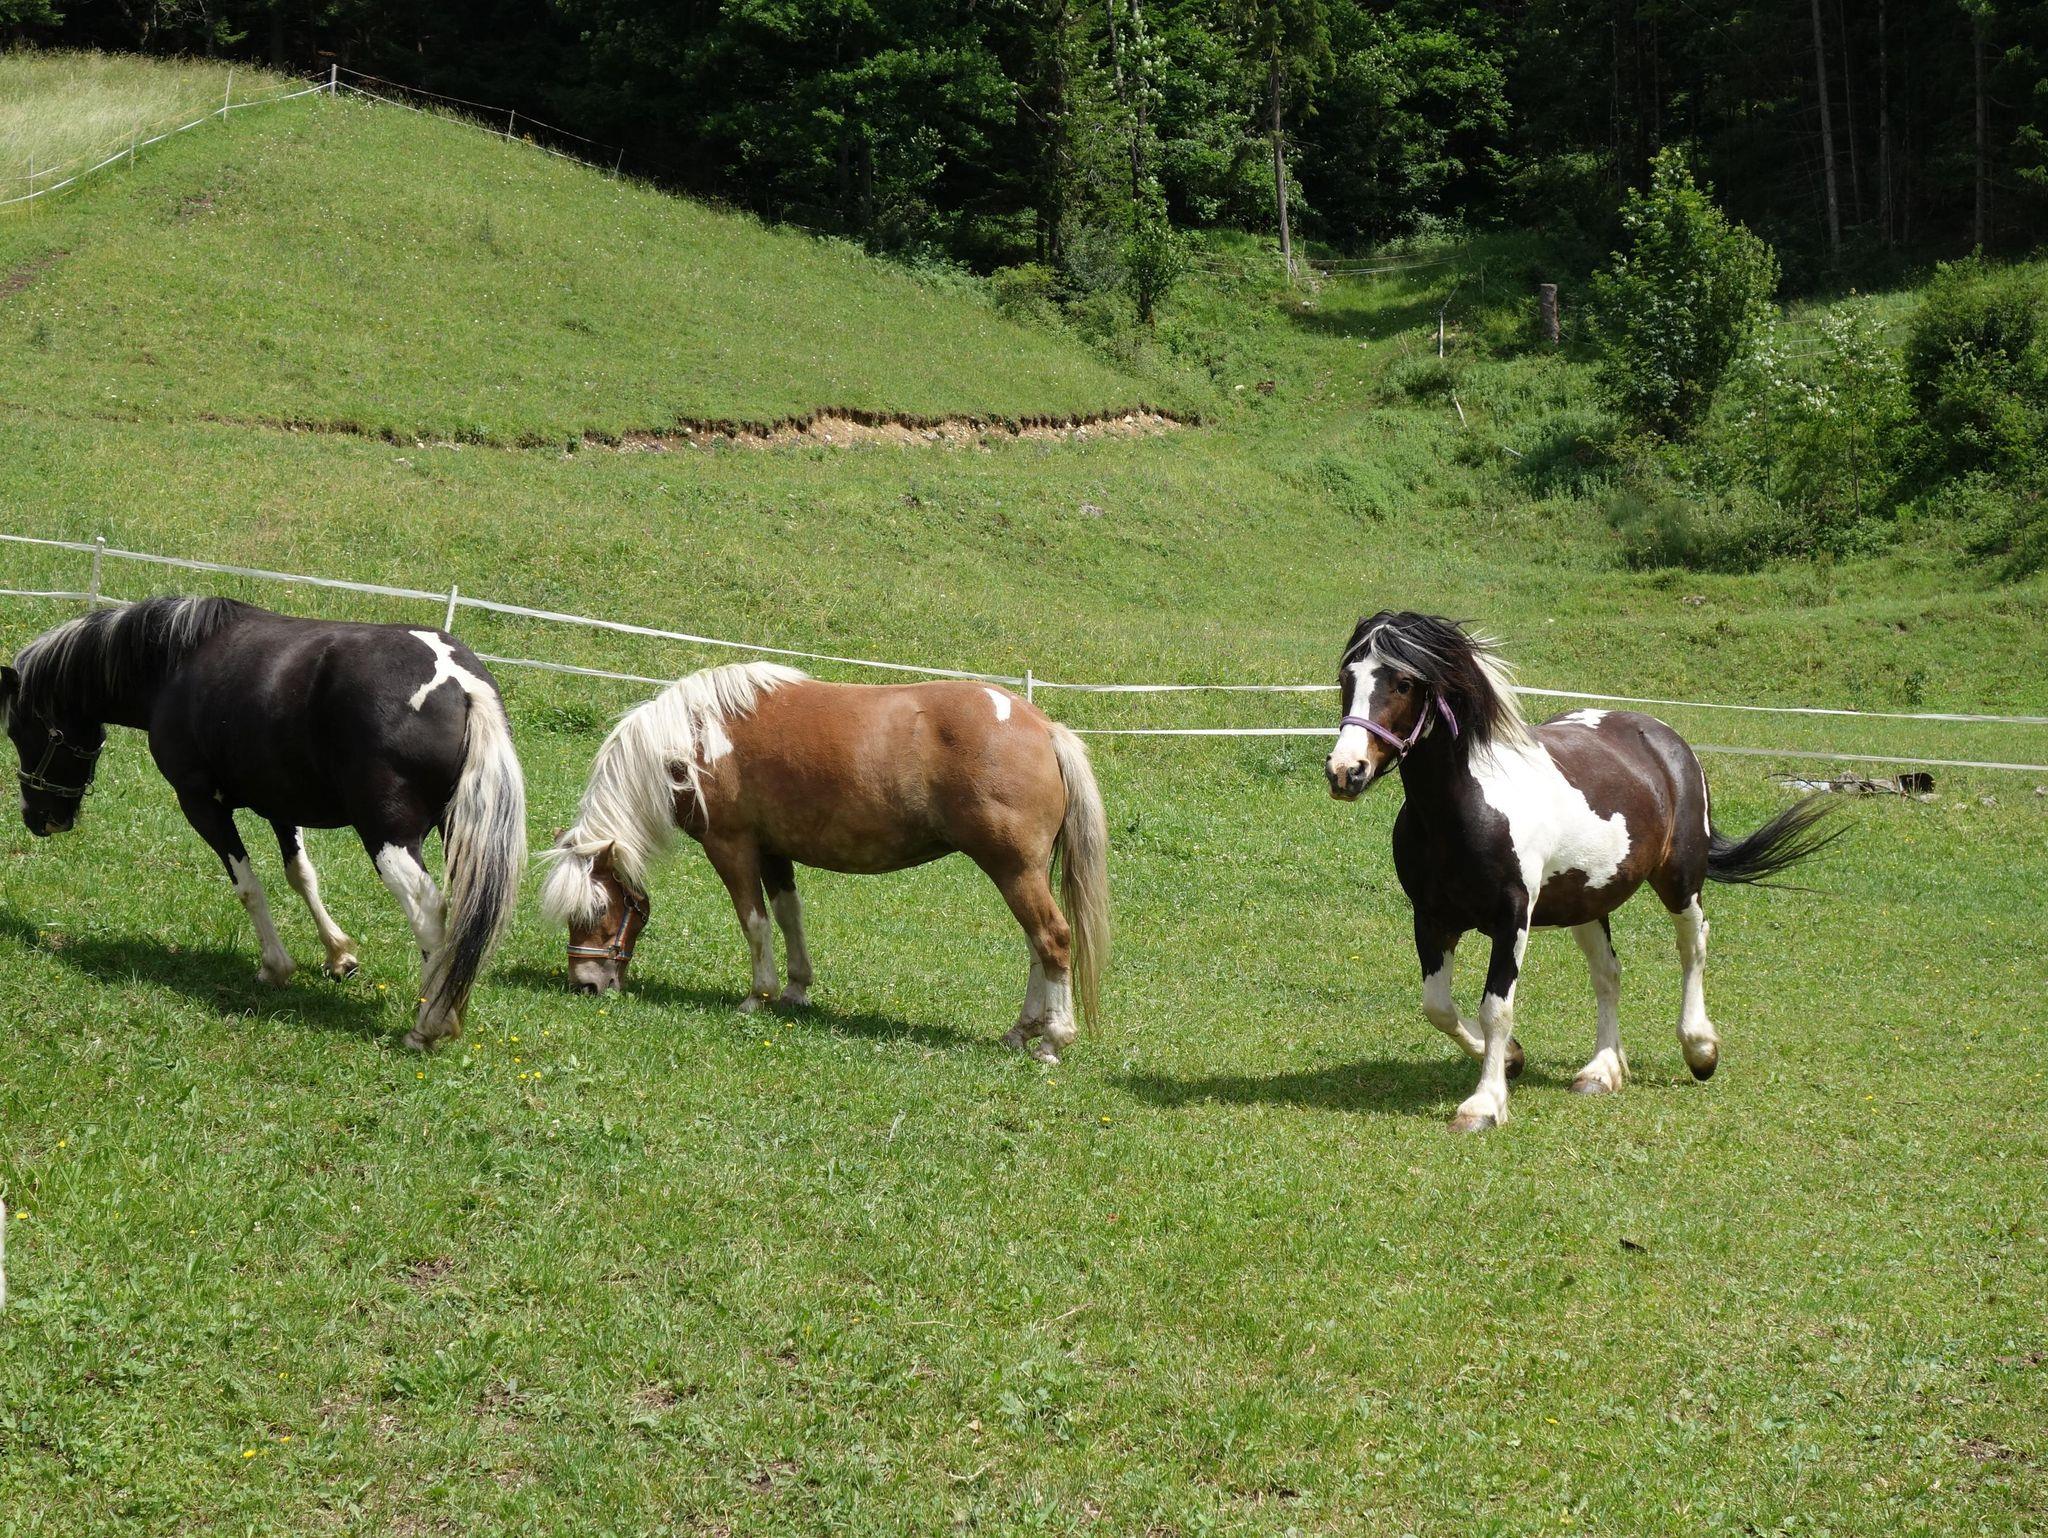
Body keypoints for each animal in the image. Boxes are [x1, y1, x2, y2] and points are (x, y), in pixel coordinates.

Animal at [1, 596, 526, 1049]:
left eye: (18, 730)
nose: (37, 818)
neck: (175, 663)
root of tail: (461, 683)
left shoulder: (201, 804)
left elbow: (248, 886)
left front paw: (275, 966)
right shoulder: (281, 807)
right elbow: (301, 876)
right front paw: (338, 954)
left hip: (388, 837)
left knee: (429, 910)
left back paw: (429, 1022)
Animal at [539, 661, 1109, 1061]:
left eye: (594, 910)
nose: (585, 985)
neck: (695, 738)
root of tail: (1042, 727)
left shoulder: (732, 846)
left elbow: (754, 922)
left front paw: (758, 995)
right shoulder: (774, 851)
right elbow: (788, 916)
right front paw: (796, 990)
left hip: (1013, 869)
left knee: (1053, 939)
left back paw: (1053, 1039)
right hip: (1019, 872)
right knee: (1037, 946)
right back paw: (1022, 1031)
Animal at [1323, 610, 1837, 1132]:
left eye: (1404, 682)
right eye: (1346, 677)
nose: (1346, 771)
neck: (1466, 809)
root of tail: (1663, 737)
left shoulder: (1512, 920)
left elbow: (1495, 1009)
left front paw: (1484, 1104)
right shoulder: (1431, 918)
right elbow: (1439, 1008)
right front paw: (1511, 1059)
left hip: (1679, 881)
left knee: (1693, 946)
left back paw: (1700, 1049)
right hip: (1588, 902)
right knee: (1608, 974)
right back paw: (1601, 1072)